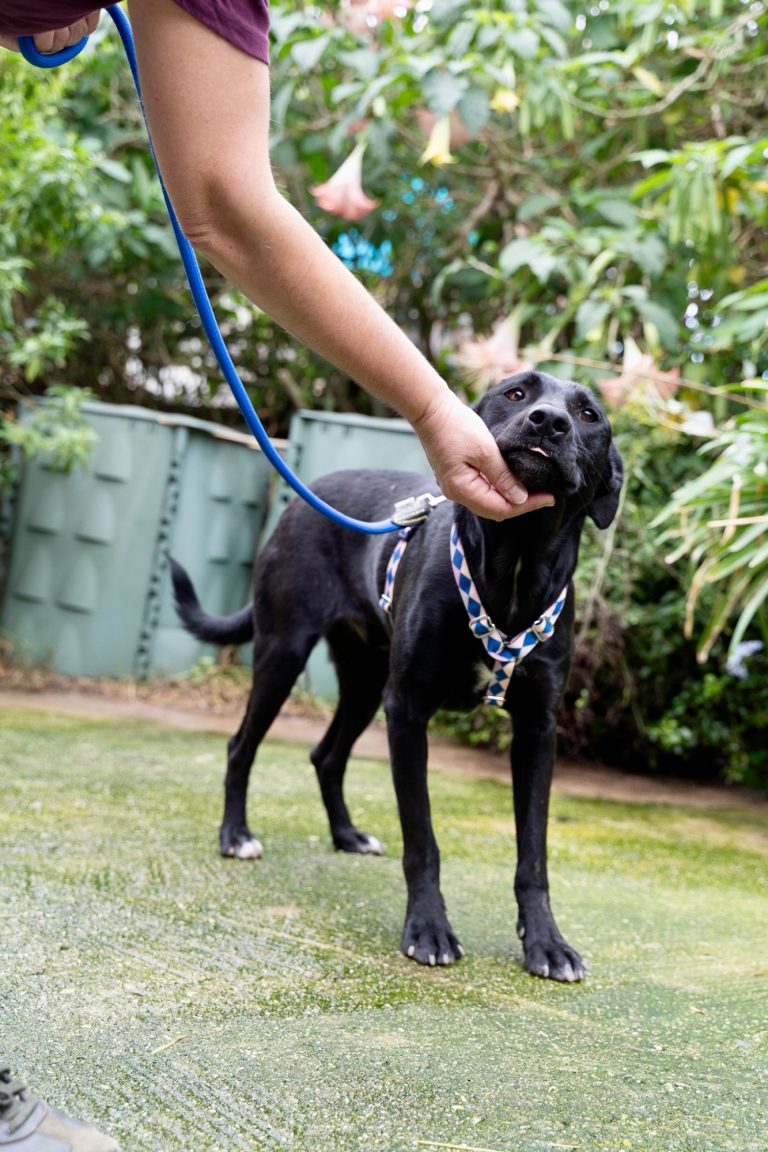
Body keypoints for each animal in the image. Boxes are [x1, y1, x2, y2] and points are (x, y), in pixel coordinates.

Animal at [171, 370, 623, 981]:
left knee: (326, 756)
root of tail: (301, 500)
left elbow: (534, 852)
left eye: (589, 415)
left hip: (365, 684)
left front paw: (546, 942)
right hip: (283, 655)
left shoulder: (537, 729)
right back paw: (236, 836)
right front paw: (428, 929)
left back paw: (346, 835)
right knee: (241, 745)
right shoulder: (407, 710)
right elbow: (422, 838)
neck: (516, 566)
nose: (549, 422)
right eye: (516, 393)